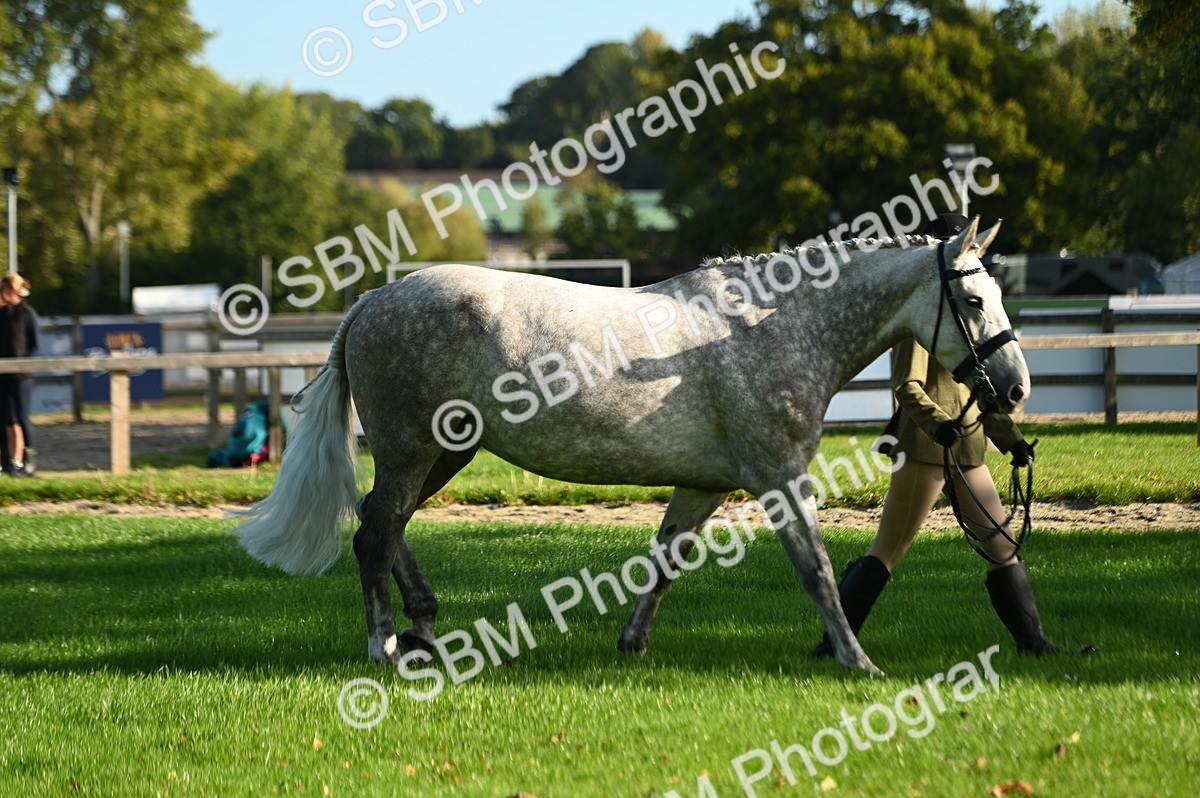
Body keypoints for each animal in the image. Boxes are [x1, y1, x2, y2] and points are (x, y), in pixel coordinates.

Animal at [235, 216, 1029, 677]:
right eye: (974, 300)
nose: (1016, 387)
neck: (773, 325)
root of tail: (372, 302)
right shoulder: (779, 477)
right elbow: (819, 573)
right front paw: (857, 660)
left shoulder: (705, 485)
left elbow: (665, 562)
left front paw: (631, 644)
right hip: (411, 450)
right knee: (374, 532)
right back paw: (386, 647)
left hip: (443, 452)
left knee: (386, 523)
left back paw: (425, 627)